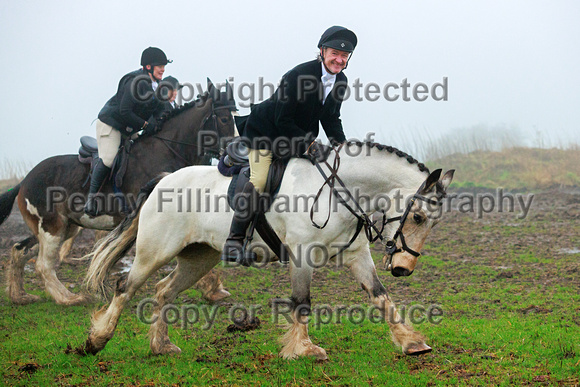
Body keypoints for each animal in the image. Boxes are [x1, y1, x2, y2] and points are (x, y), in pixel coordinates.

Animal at [0, 81, 236, 306]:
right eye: (225, 119)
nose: (234, 154)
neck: (167, 151)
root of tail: (25, 180)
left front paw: (213, 288)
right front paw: (212, 287)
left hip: (62, 227)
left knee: (20, 250)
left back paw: (19, 296)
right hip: (52, 227)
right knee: (43, 265)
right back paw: (69, 298)